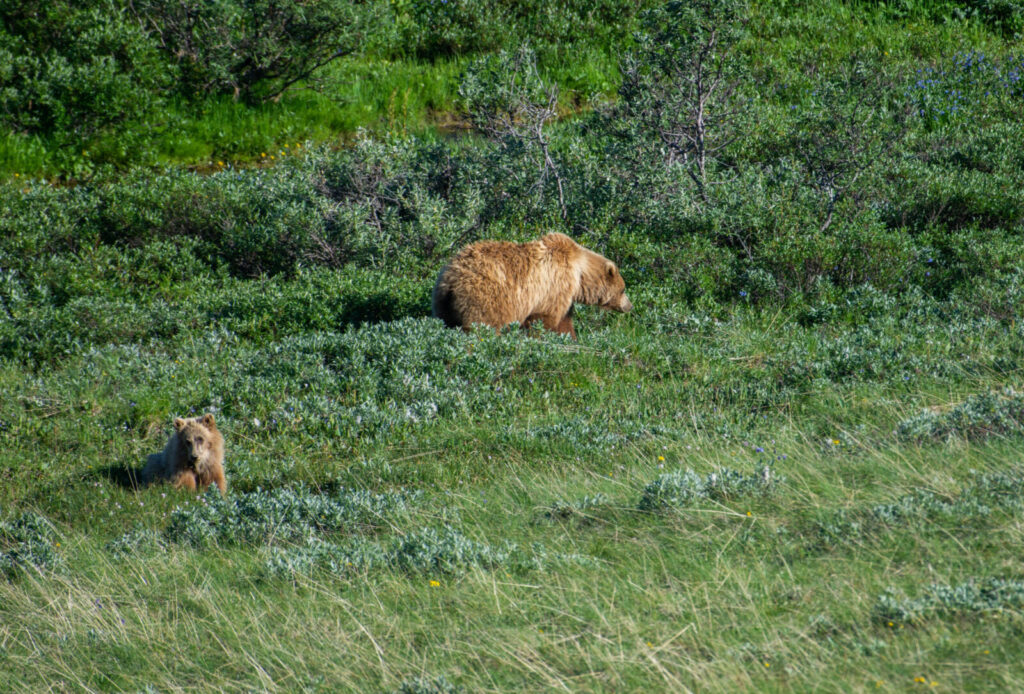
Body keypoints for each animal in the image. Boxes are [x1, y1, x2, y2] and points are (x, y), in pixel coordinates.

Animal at [432, 232, 632, 339]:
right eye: (623, 289)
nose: (629, 306)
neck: (579, 274)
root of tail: (452, 280)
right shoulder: (553, 286)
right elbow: (546, 320)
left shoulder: (563, 295)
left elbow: (564, 320)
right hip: (485, 300)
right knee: (482, 326)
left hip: (442, 303)